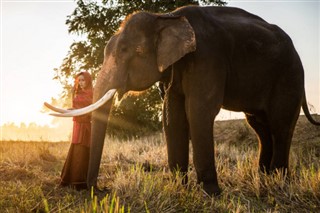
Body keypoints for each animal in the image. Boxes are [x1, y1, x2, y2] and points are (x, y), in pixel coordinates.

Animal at [45, 5, 320, 196]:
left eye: (134, 52)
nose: (99, 189)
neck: (165, 17)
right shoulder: (174, 69)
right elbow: (172, 114)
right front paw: (179, 186)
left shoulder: (207, 58)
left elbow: (198, 111)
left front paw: (210, 193)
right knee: (261, 126)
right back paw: (264, 178)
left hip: (289, 76)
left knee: (280, 125)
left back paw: (279, 182)